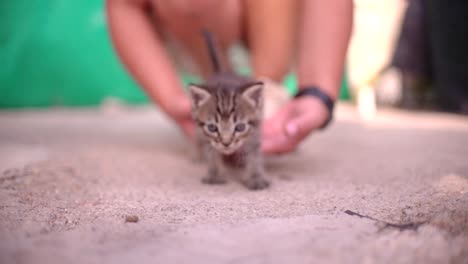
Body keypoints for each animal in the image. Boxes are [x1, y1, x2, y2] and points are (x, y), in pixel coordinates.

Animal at [187, 30, 268, 190]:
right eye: (212, 127)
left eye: (240, 127)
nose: (226, 143)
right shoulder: (207, 137)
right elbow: (211, 153)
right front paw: (215, 174)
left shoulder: (255, 134)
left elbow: (254, 156)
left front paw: (255, 177)